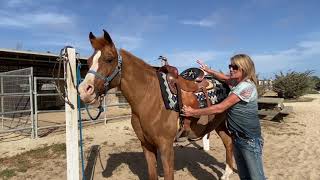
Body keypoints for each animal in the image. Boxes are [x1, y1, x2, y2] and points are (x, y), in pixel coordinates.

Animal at [77, 29, 232, 180]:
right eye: (89, 62)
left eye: (109, 59)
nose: (84, 90)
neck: (150, 98)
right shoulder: (146, 145)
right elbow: (152, 174)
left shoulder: (166, 147)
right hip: (219, 124)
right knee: (228, 142)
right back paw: (226, 174)